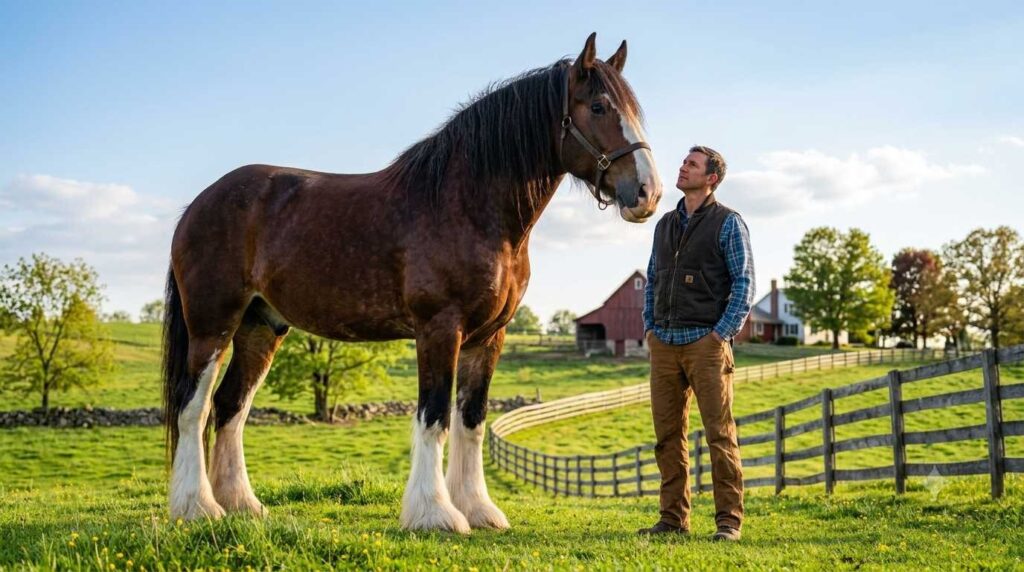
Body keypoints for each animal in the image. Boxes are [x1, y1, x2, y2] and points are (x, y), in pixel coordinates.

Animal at [162, 33, 662, 533]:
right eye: (598, 106)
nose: (648, 193)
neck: (466, 206)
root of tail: (197, 206)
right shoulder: (439, 327)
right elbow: (434, 416)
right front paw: (435, 513)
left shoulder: (489, 336)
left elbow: (471, 419)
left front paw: (478, 508)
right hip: (213, 323)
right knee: (193, 406)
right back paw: (196, 506)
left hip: (261, 325)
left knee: (230, 406)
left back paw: (242, 504)